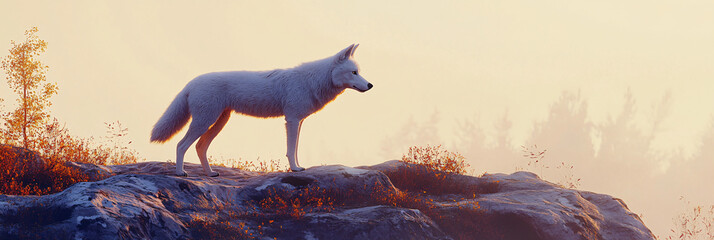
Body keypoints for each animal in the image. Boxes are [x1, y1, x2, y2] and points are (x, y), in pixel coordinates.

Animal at [150, 44, 372, 176]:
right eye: (354, 72)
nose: (370, 85)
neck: (312, 81)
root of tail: (190, 83)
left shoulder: (299, 121)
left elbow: (296, 149)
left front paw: (299, 167)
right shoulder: (291, 120)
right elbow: (290, 150)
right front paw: (294, 169)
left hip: (218, 122)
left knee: (200, 147)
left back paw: (211, 173)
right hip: (204, 122)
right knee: (181, 145)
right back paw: (180, 173)